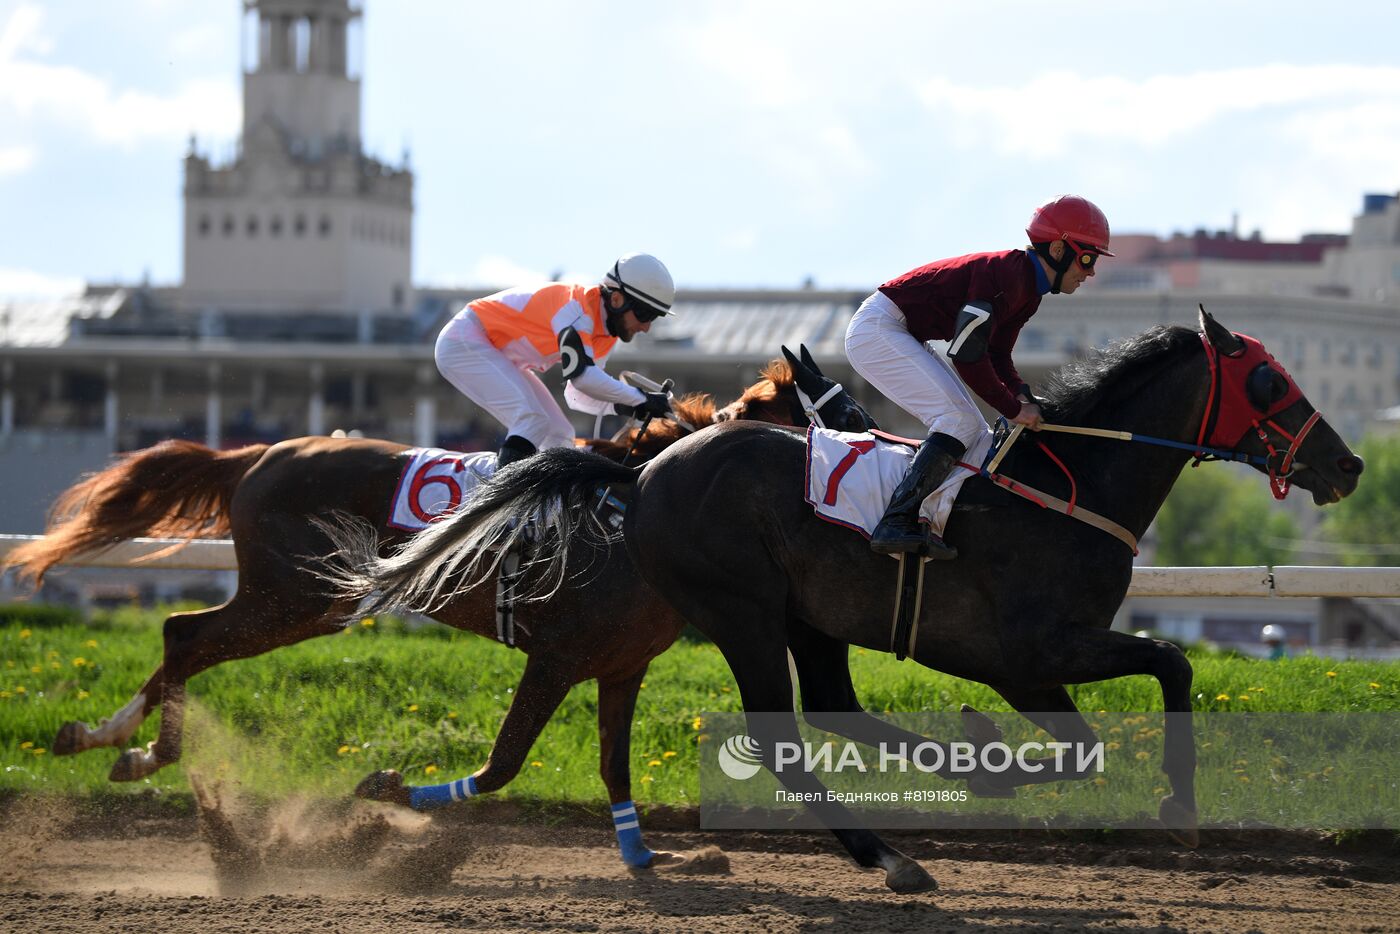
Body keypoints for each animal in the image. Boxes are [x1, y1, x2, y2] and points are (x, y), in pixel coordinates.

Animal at [5, 350, 868, 868]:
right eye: (846, 414)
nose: (886, 466)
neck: (637, 512)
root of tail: (256, 454)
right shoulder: (556, 655)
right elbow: (505, 762)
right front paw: (391, 793)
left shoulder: (621, 667)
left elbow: (612, 765)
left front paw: (649, 858)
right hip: (298, 598)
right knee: (184, 636)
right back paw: (147, 753)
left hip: (296, 601)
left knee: (183, 639)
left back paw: (101, 738)